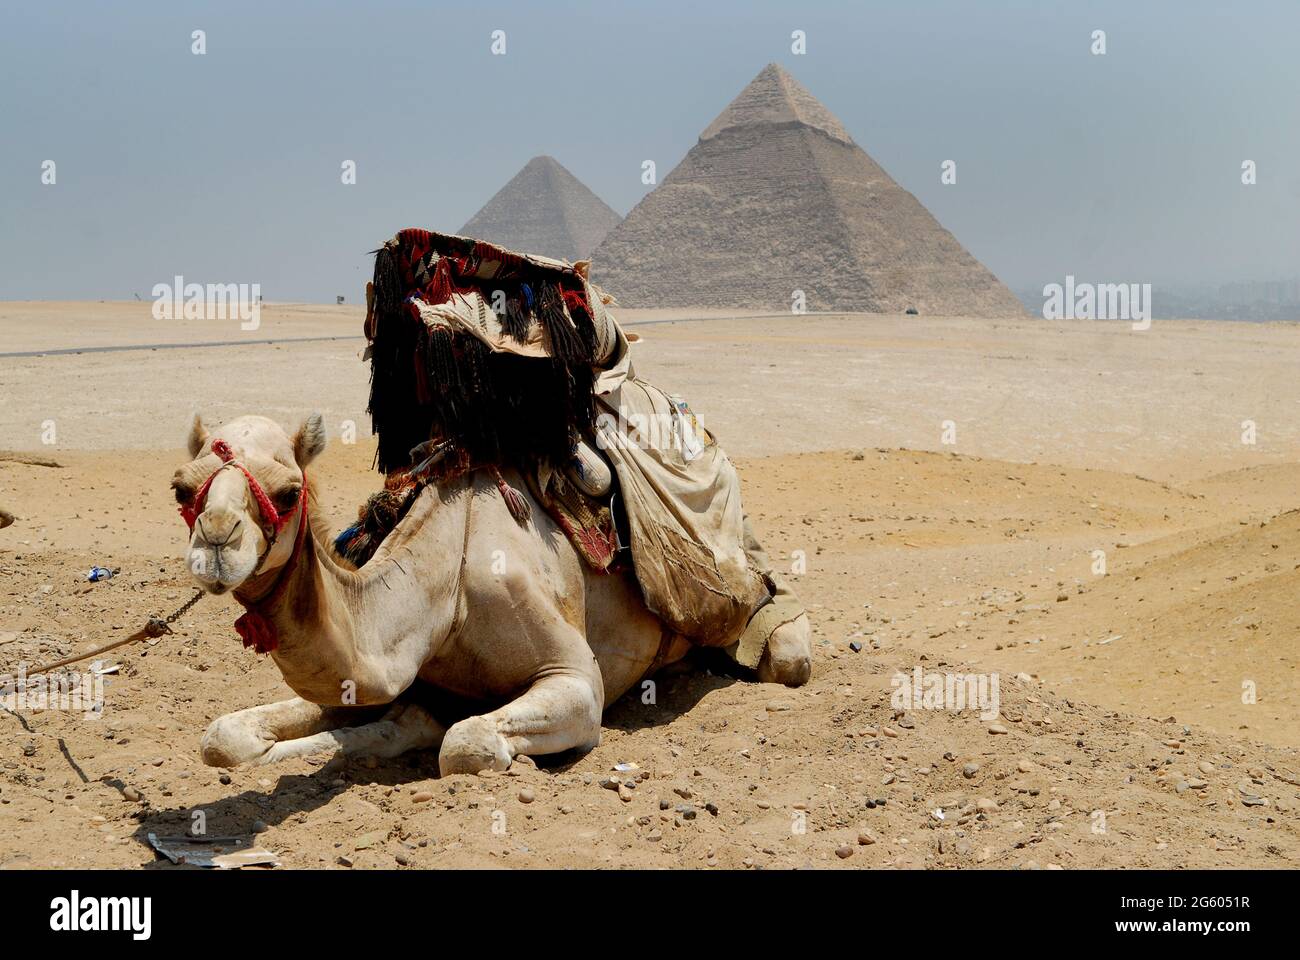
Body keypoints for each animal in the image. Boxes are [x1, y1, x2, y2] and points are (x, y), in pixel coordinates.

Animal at [171, 411, 800, 770]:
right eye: (181, 488)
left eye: (287, 492)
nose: (217, 540)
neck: (445, 591)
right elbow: (221, 736)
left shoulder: (576, 680)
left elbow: (465, 742)